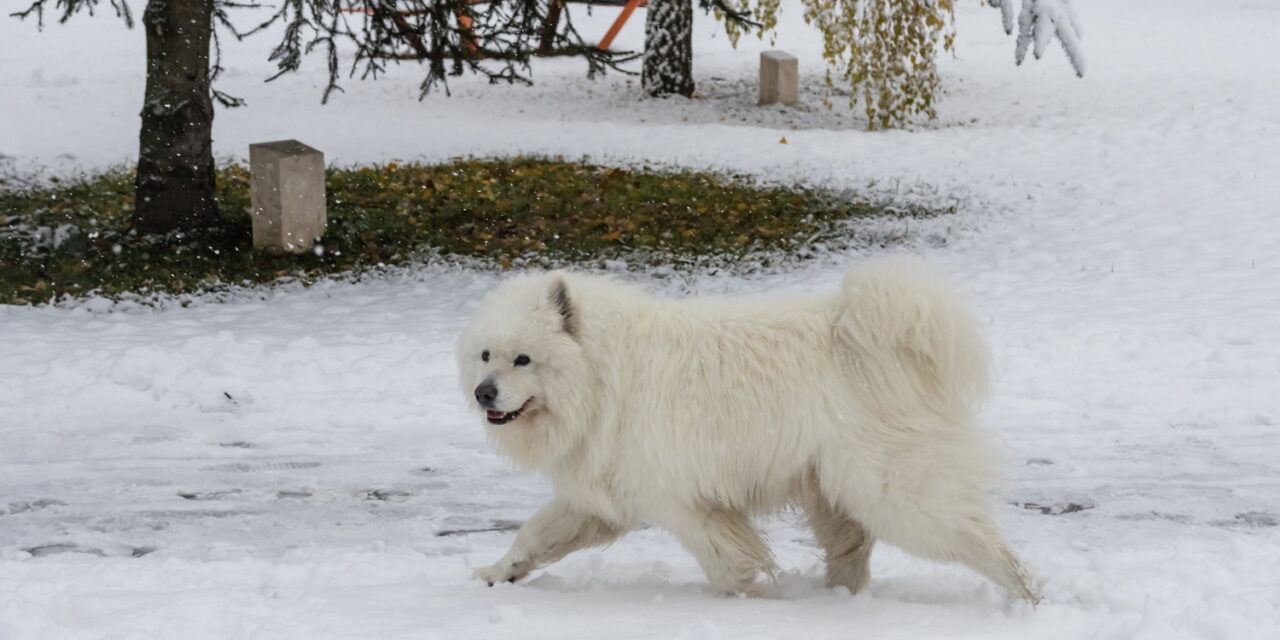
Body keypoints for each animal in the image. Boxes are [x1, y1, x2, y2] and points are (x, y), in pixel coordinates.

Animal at [460, 257, 1039, 601]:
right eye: (486, 355)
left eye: (524, 359)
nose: (482, 393)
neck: (602, 376)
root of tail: (872, 336)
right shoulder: (602, 493)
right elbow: (536, 532)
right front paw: (498, 572)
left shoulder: (680, 499)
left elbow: (726, 559)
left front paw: (746, 599)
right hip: (833, 491)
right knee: (852, 554)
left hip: (892, 490)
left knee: (978, 541)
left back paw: (1025, 595)